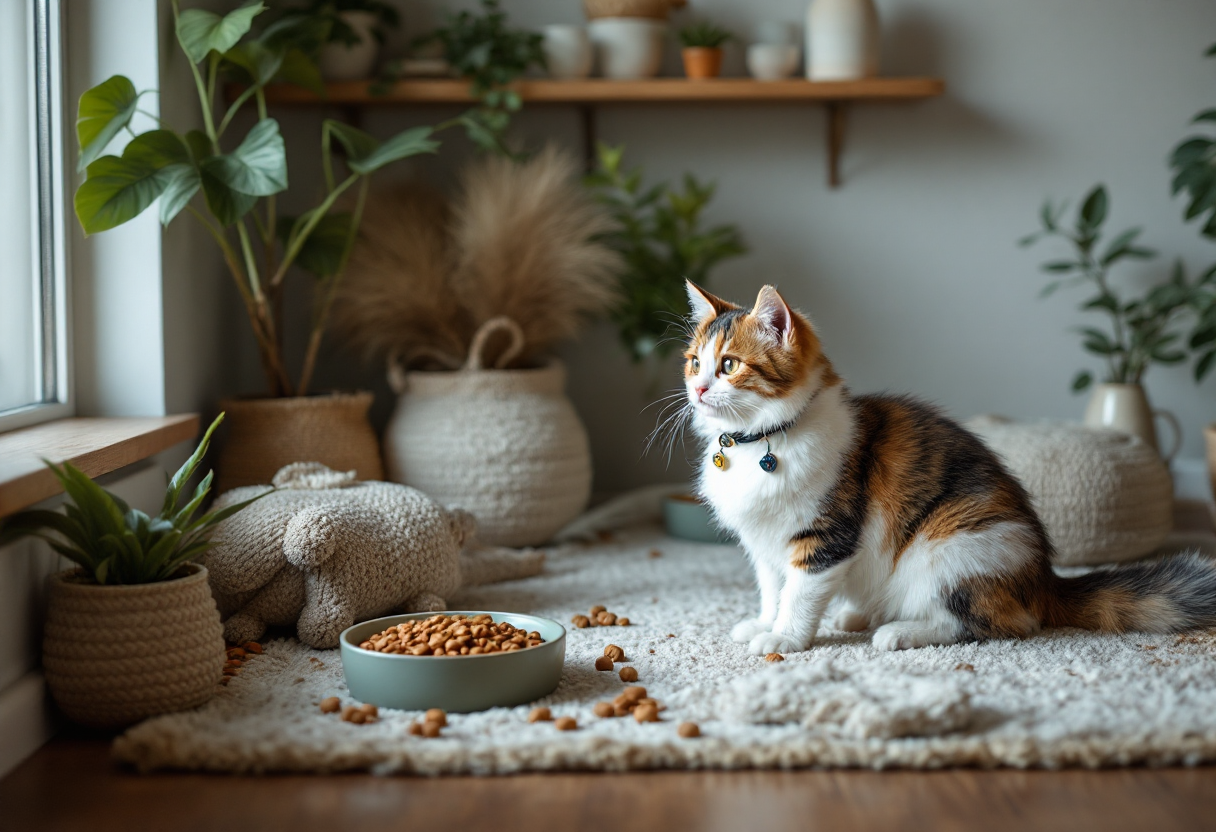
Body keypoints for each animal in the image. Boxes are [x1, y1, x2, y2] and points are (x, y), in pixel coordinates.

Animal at [680, 282, 1216, 651]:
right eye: (694, 362)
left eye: (729, 365)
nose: (699, 389)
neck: (758, 443)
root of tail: (1045, 581)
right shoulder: (765, 547)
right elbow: (774, 591)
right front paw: (764, 622)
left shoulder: (824, 538)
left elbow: (799, 595)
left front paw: (785, 638)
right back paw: (859, 615)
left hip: (949, 549)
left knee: (991, 623)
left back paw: (898, 631)